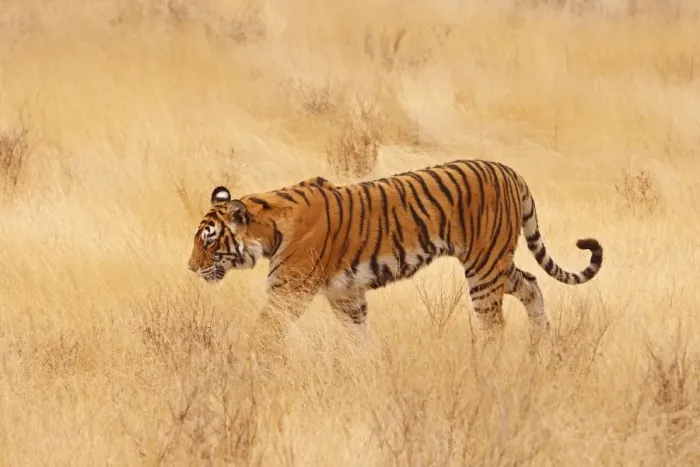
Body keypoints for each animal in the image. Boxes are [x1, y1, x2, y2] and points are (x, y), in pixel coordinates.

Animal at [187, 159, 603, 348]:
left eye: (208, 241)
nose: (190, 268)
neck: (267, 225)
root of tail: (510, 170)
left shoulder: (287, 293)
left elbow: (262, 336)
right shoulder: (346, 296)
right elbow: (360, 339)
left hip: (484, 267)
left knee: (493, 325)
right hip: (496, 262)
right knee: (531, 284)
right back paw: (542, 348)